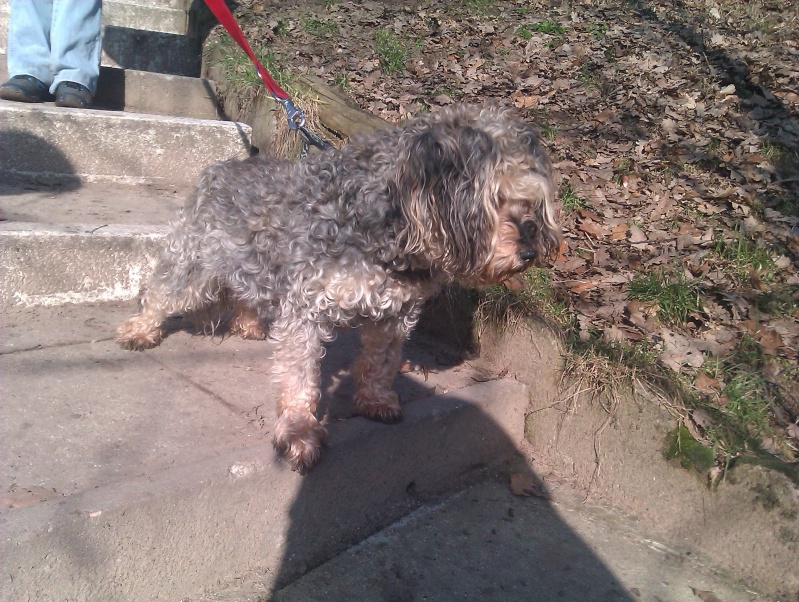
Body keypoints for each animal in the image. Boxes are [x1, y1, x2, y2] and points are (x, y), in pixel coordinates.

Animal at [115, 102, 560, 468]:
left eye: (529, 201)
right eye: (494, 200)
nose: (529, 253)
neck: (384, 230)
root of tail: (221, 168)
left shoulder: (397, 313)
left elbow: (381, 362)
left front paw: (375, 400)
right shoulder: (306, 308)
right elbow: (298, 377)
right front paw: (299, 432)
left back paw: (248, 324)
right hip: (196, 262)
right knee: (160, 290)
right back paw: (140, 329)